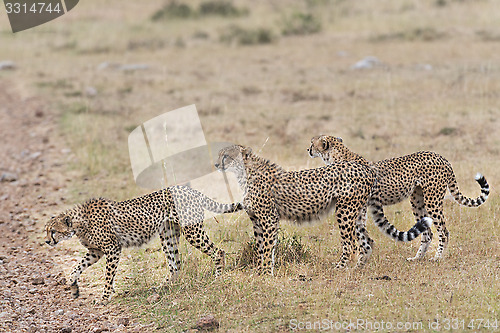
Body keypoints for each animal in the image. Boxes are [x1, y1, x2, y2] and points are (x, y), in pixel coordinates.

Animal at [213, 144, 432, 274]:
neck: (245, 173)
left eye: (226, 156)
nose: (215, 163)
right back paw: (358, 268)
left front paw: (266, 274)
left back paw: (341, 268)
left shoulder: (268, 219)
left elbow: (267, 248)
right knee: (367, 241)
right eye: (220, 154)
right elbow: (260, 248)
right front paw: (260, 272)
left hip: (344, 211)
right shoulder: (257, 221)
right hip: (357, 213)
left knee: (350, 244)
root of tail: (366, 168)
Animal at [306, 134, 490, 260]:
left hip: (432, 200)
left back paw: (437, 257)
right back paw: (417, 258)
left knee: (443, 231)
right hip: (417, 200)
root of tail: (441, 157)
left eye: (312, 143)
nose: (308, 149)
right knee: (427, 233)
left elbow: (358, 231)